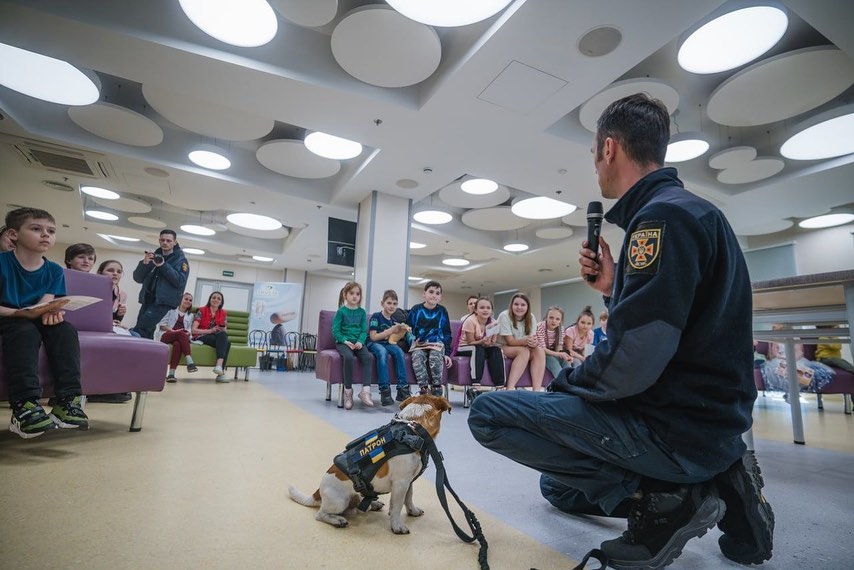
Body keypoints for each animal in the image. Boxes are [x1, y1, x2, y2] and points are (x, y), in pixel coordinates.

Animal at [288, 394, 451, 534]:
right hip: (340, 501)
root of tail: (317, 492)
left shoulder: (408, 481)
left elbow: (408, 498)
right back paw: (337, 520)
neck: (412, 428)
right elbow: (397, 505)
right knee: (321, 514)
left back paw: (372, 504)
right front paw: (397, 525)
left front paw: (413, 511)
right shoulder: (400, 483)